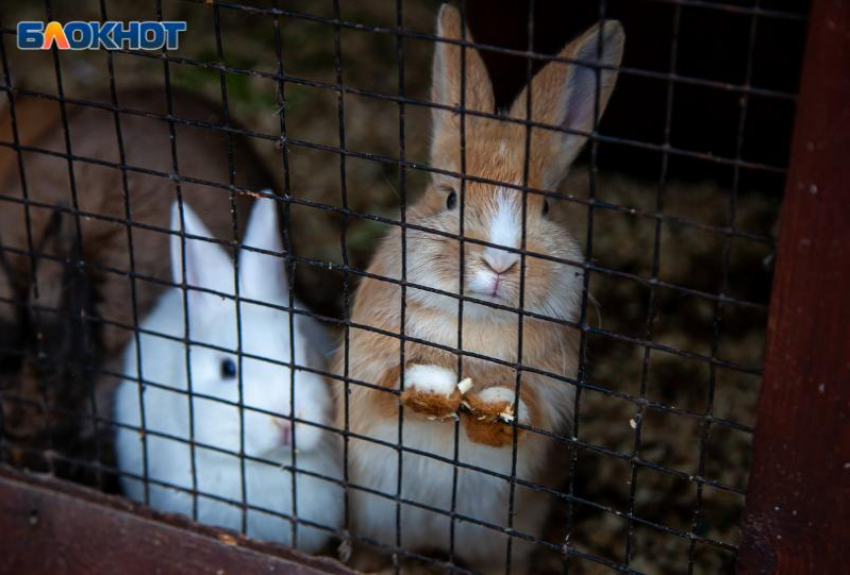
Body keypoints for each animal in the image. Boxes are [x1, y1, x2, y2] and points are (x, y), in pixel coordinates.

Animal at [336, 5, 624, 575]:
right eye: (451, 199)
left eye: (546, 208)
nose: (500, 262)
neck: (477, 322)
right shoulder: (366, 366)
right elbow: (387, 385)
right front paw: (430, 386)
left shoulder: (552, 394)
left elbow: (530, 412)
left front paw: (496, 405)